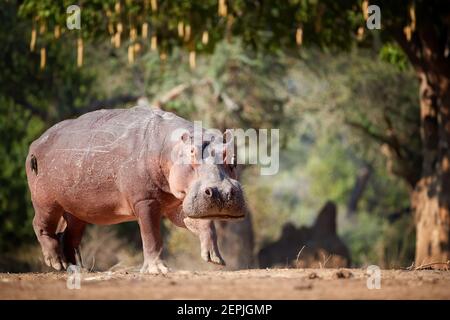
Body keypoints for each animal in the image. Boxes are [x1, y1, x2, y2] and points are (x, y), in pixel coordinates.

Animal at [25, 106, 246, 274]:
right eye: (192, 153)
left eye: (232, 157)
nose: (222, 193)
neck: (169, 148)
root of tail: (35, 142)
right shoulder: (145, 200)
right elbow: (151, 235)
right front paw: (158, 270)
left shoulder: (178, 203)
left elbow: (202, 223)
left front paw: (215, 259)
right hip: (46, 200)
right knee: (41, 223)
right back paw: (57, 263)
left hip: (77, 207)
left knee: (69, 234)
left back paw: (79, 269)